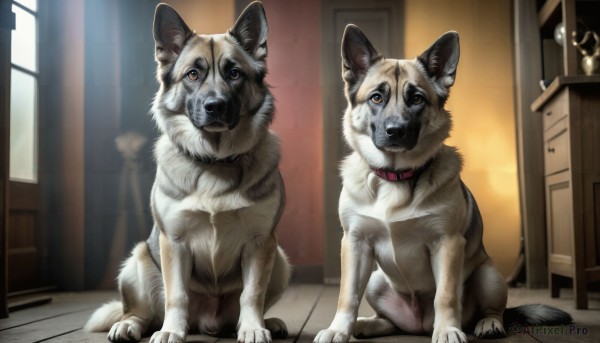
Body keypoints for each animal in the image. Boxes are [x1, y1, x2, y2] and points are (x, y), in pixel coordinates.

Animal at [84, 2, 290, 342]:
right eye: (193, 74)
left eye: (234, 73)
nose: (215, 106)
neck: (215, 161)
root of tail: (207, 322)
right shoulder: (174, 243)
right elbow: (176, 295)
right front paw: (171, 331)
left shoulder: (261, 243)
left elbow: (252, 294)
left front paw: (253, 327)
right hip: (137, 261)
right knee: (143, 312)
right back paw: (131, 325)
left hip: (281, 262)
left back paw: (266, 322)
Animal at [314, 24, 572, 343]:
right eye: (376, 97)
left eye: (417, 99)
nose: (396, 131)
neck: (396, 177)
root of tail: (420, 324)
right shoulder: (355, 244)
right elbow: (347, 294)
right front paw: (339, 329)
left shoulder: (447, 244)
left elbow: (445, 295)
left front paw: (448, 329)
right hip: (375, 281)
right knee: (391, 322)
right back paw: (367, 324)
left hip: (488, 276)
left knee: (492, 310)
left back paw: (487, 324)